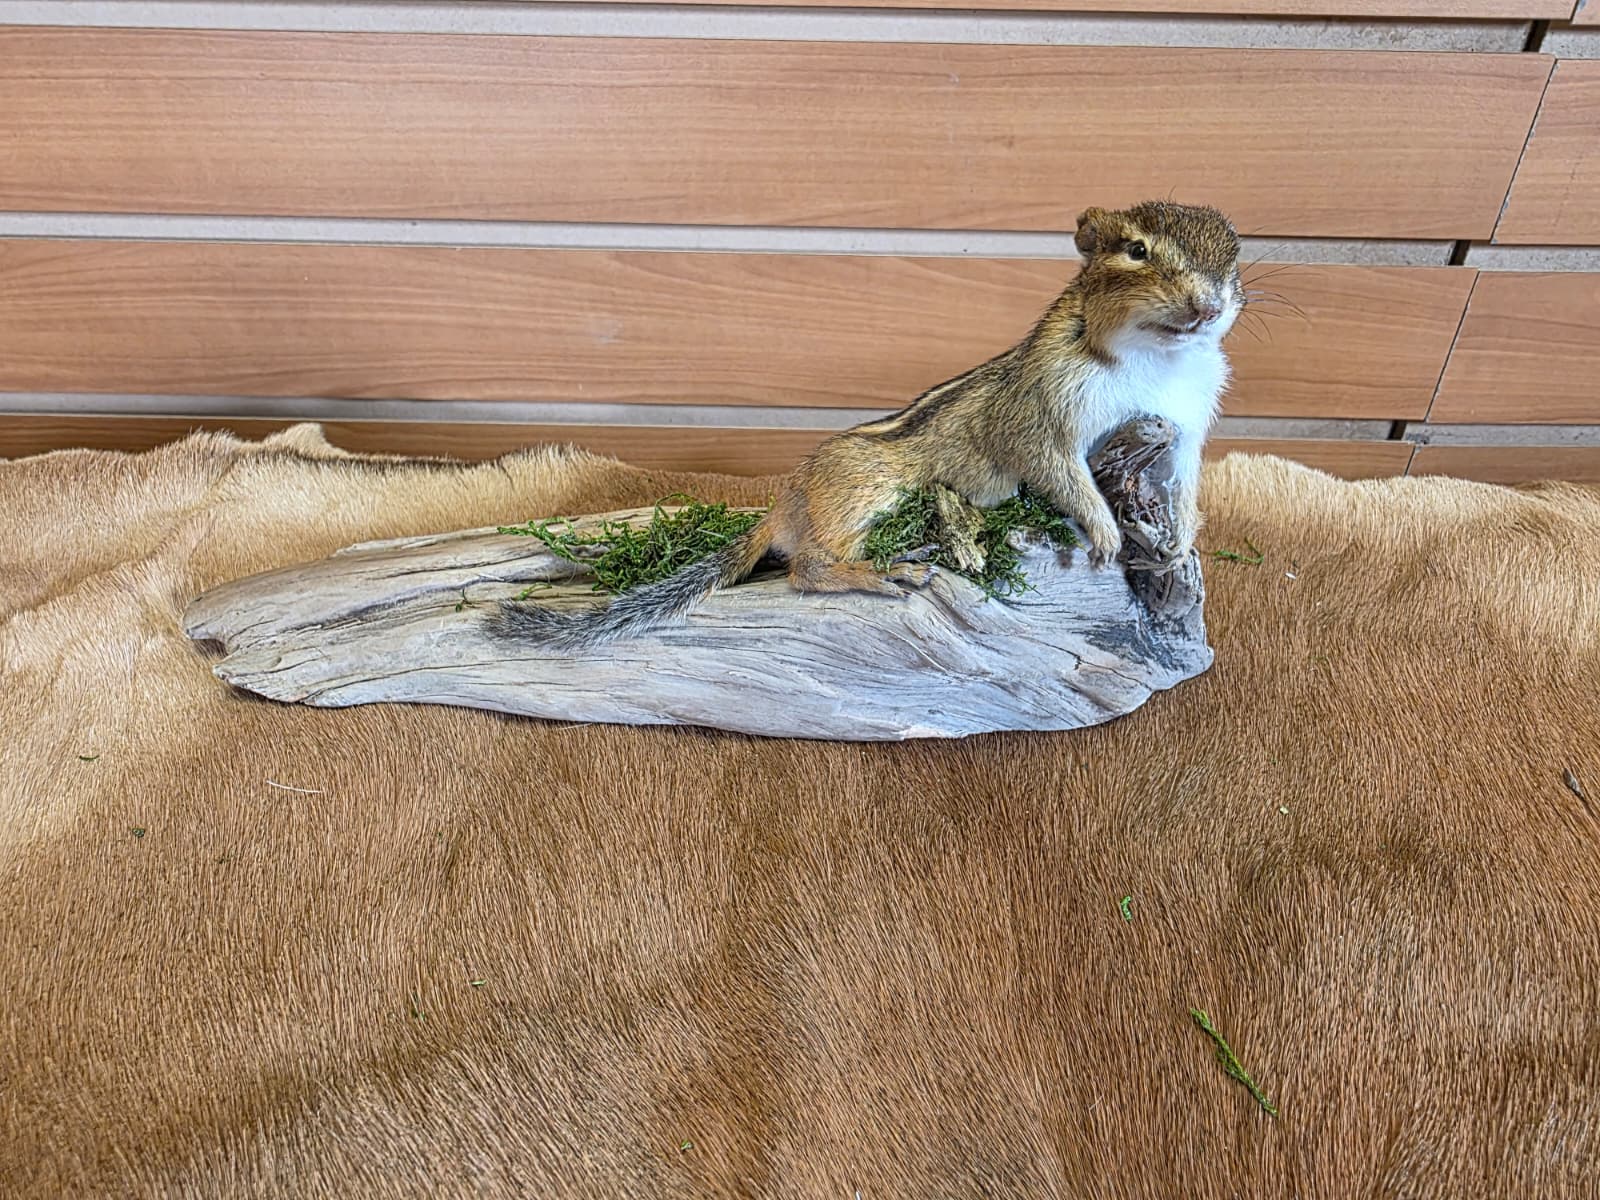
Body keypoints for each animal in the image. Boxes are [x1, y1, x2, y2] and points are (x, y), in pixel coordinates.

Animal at [497, 200, 1243, 649]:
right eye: (1135, 250)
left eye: (1235, 257)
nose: (1208, 306)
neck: (1154, 360)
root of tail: (787, 502)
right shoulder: (1045, 416)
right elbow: (1061, 472)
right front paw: (1105, 531)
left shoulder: (1184, 429)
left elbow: (1186, 486)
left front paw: (1177, 542)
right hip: (868, 491)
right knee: (807, 569)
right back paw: (885, 574)